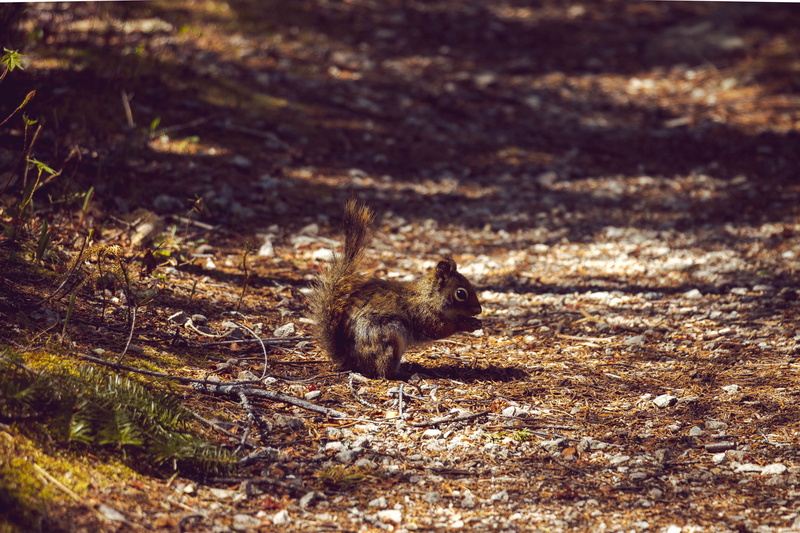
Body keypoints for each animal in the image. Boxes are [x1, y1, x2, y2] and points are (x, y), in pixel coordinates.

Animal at [309, 199, 483, 379]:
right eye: (460, 293)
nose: (479, 310)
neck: (429, 296)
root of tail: (352, 362)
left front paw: (474, 322)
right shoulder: (424, 314)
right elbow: (438, 328)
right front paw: (466, 324)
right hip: (389, 337)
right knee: (384, 371)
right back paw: (404, 373)